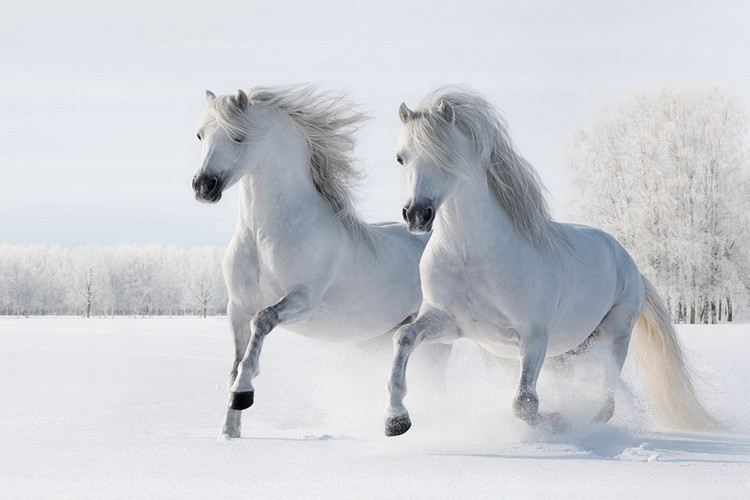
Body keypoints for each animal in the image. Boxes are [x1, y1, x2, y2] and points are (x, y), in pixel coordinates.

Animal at [192, 86, 447, 439]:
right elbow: (234, 362)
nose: (204, 186)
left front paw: (244, 395)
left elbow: (262, 321)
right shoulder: (237, 307)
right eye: (200, 135)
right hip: (379, 338)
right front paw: (229, 432)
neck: (263, 236)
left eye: (239, 136)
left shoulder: (302, 300)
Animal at [385, 87, 715, 436]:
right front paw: (396, 420)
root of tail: (629, 263)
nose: (417, 215)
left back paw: (589, 425)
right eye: (401, 157)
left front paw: (556, 422)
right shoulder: (448, 323)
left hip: (615, 335)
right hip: (570, 351)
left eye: (446, 155)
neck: (470, 257)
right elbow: (403, 336)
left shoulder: (534, 337)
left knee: (608, 396)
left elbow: (524, 403)